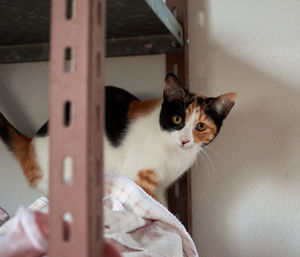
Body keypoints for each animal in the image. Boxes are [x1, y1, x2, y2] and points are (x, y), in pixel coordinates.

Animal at [0, 73, 236, 205]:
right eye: (177, 119)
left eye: (201, 126)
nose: (185, 140)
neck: (173, 153)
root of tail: (31, 144)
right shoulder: (137, 177)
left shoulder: (160, 187)